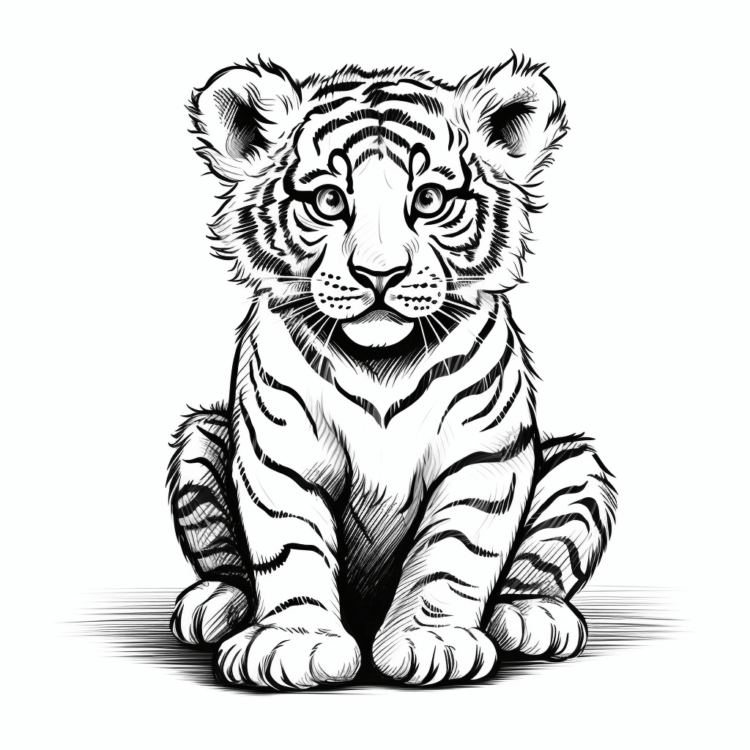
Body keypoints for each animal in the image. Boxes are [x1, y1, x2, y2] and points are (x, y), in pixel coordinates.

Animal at [167, 55, 617, 690]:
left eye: (428, 199)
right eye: (330, 201)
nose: (379, 273)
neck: (380, 361)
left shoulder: (483, 458)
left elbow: (454, 554)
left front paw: (431, 641)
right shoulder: (278, 456)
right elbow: (288, 549)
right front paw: (294, 643)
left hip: (580, 469)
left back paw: (533, 615)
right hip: (198, 439)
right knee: (228, 565)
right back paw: (214, 605)